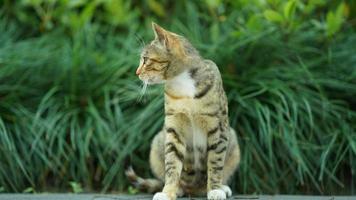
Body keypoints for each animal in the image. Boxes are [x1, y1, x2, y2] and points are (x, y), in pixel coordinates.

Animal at [126, 22, 242, 199]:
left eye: (145, 59)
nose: (137, 73)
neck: (182, 84)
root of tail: (194, 190)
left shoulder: (218, 127)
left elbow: (215, 163)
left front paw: (215, 189)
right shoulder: (174, 128)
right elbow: (172, 164)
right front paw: (167, 192)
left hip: (233, 140)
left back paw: (222, 187)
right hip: (158, 141)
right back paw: (179, 188)